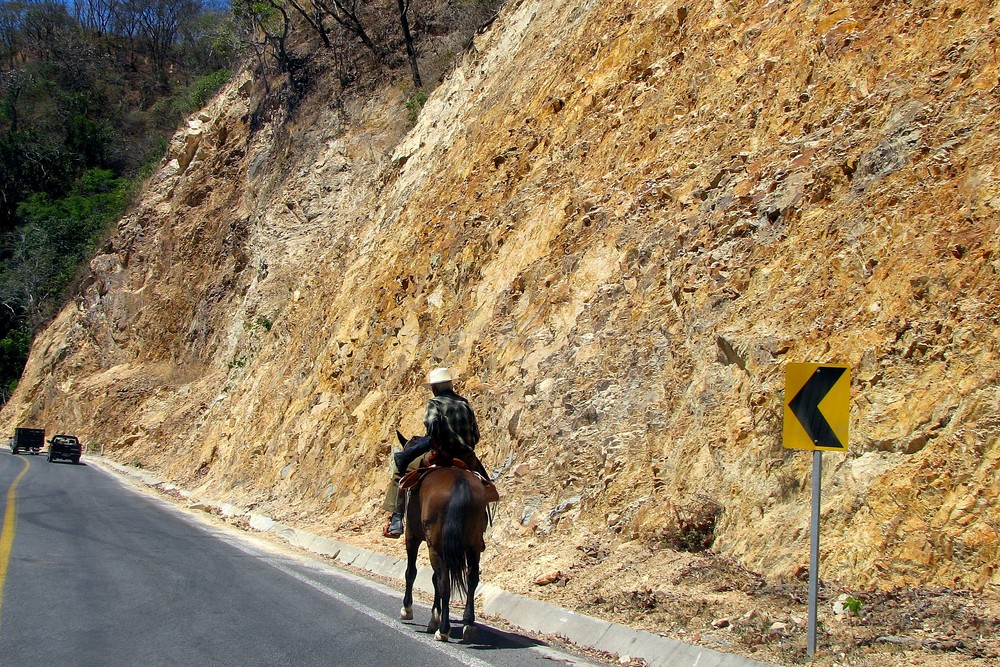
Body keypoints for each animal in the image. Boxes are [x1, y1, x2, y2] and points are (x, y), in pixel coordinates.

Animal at [400, 436, 490, 644]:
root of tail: (459, 482)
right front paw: (435, 616)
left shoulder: (412, 537)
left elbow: (411, 572)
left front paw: (407, 610)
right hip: (472, 545)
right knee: (472, 578)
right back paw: (468, 624)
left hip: (435, 546)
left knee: (444, 582)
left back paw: (443, 630)